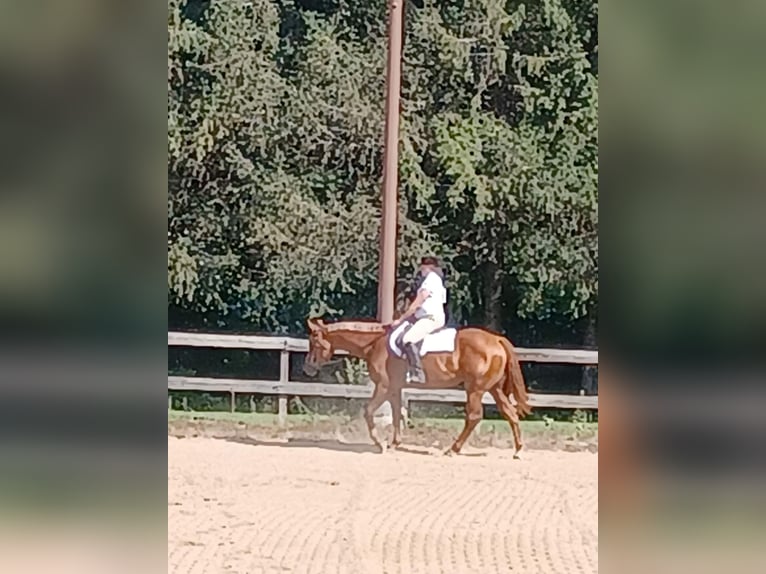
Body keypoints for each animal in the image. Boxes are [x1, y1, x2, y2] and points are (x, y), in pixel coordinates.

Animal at [302, 318, 531, 457]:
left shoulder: (383, 387)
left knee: (474, 416)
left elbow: (368, 412)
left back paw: (453, 449)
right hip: (495, 389)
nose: (308, 368)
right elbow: (396, 414)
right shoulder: (394, 389)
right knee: (510, 413)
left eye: (315, 342)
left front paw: (380, 444)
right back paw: (518, 450)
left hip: (475, 389)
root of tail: (496, 339)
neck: (375, 344)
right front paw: (393, 443)